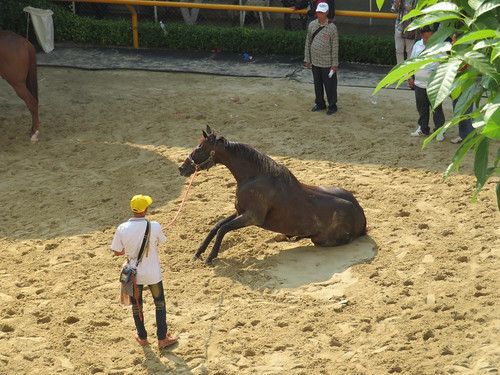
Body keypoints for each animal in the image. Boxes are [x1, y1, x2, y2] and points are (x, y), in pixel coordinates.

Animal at [180, 126, 368, 264]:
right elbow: (216, 226)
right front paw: (197, 254)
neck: (255, 177)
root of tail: (361, 217)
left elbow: (223, 229)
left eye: (199, 148)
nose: (182, 168)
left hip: (321, 240)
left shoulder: (252, 217)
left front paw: (210, 257)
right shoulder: (240, 212)